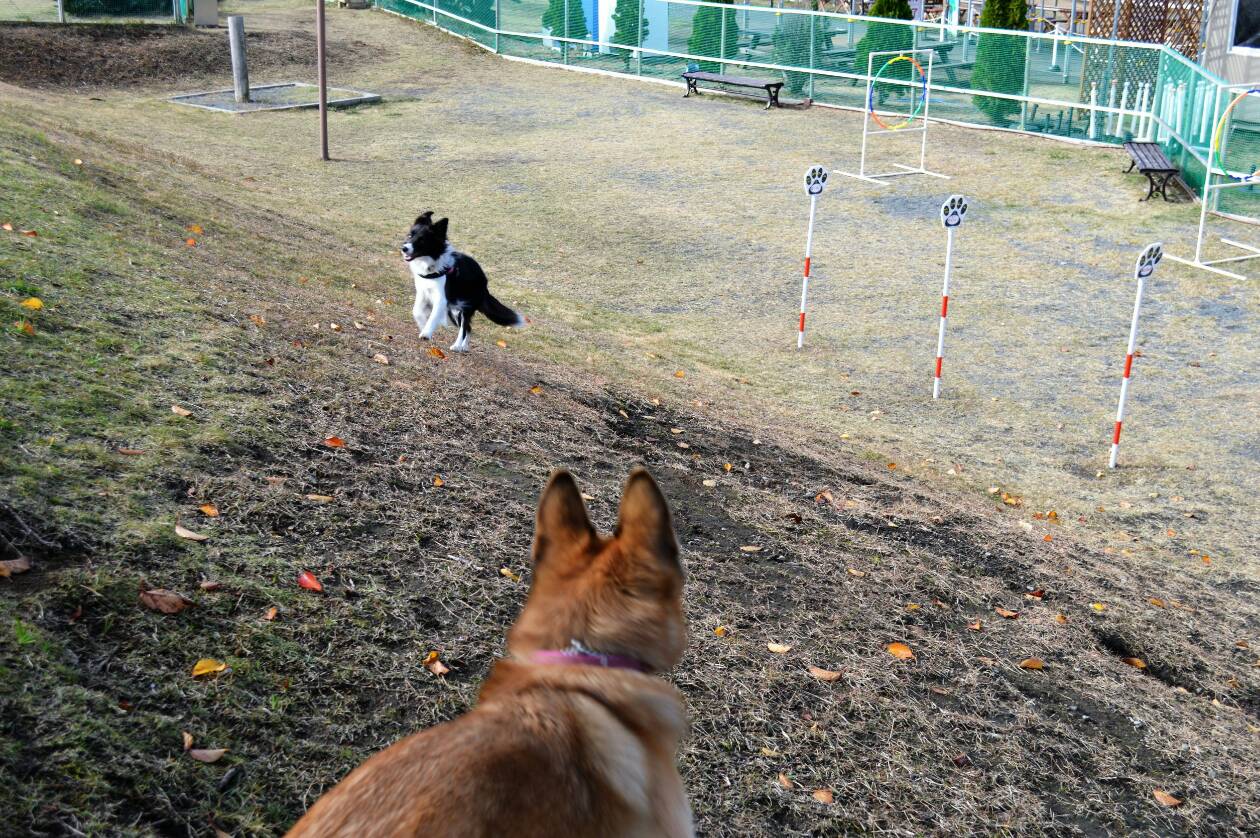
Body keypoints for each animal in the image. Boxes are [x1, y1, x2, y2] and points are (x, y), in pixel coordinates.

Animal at [400, 210, 524, 350]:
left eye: (422, 240)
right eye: (410, 235)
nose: (404, 248)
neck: (432, 264)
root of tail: (485, 284)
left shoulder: (442, 299)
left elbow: (434, 316)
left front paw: (426, 333)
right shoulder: (423, 292)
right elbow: (416, 311)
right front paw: (422, 325)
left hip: (464, 307)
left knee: (464, 327)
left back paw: (457, 346)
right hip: (454, 309)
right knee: (468, 328)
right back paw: (463, 347)